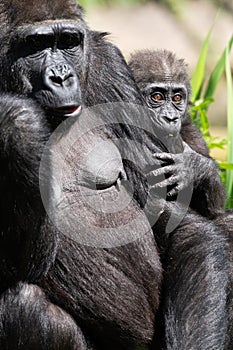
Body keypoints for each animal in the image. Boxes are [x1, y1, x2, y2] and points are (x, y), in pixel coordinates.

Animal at [0, 0, 228, 350]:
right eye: (37, 44)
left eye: (69, 42)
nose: (61, 77)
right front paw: (18, 121)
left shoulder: (110, 68)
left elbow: (174, 220)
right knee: (20, 303)